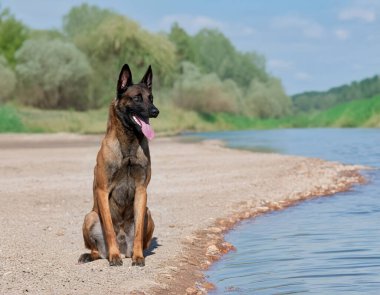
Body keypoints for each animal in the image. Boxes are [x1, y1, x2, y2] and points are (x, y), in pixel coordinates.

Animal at [78, 63, 158, 268]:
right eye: (137, 98)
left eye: (151, 98)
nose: (155, 111)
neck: (128, 146)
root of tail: (124, 249)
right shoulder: (102, 190)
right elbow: (108, 230)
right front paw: (114, 257)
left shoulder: (141, 191)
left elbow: (137, 233)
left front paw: (138, 257)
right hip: (90, 216)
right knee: (97, 250)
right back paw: (95, 255)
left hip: (148, 213)